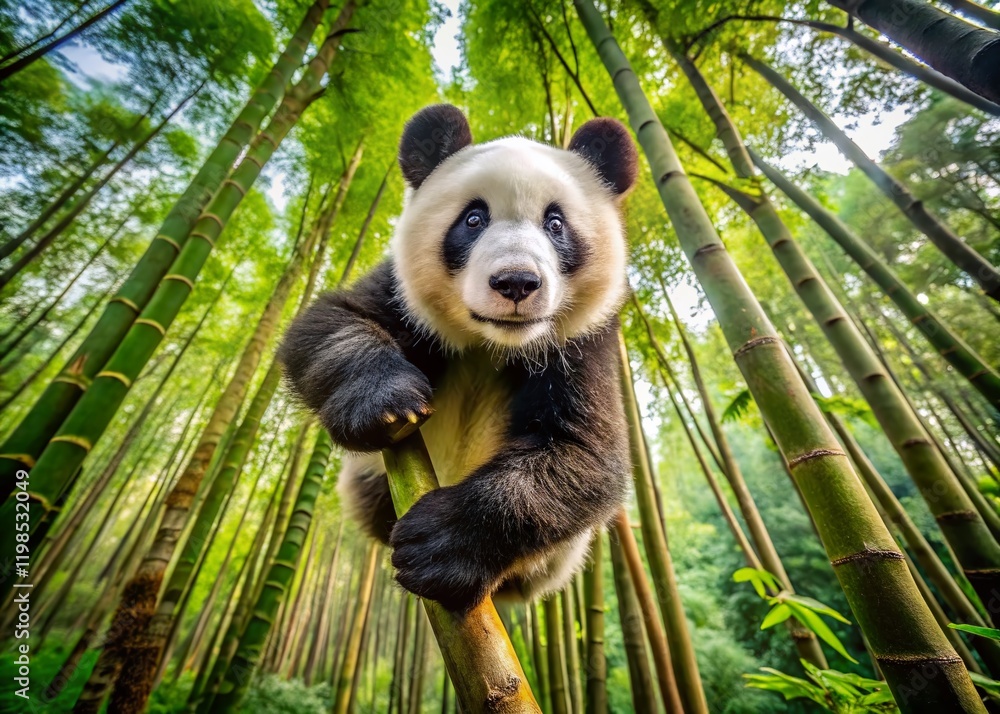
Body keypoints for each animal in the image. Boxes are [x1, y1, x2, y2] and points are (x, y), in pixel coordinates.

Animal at [280, 104, 637, 612]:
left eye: (555, 224)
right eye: (473, 219)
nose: (515, 282)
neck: (492, 342)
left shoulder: (587, 342)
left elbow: (584, 453)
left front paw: (439, 545)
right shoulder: (399, 292)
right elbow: (327, 326)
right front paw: (383, 401)